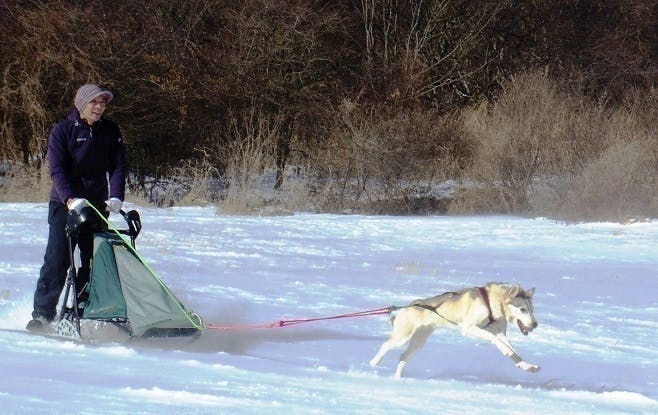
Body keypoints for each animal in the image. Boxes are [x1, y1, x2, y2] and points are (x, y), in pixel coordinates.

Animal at [368, 284, 540, 378]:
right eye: (522, 309)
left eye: (532, 310)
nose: (535, 324)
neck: (491, 303)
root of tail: (408, 306)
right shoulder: (469, 328)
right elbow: (497, 342)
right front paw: (506, 351)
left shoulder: (500, 333)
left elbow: (515, 354)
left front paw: (527, 366)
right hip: (402, 337)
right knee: (385, 346)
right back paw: (374, 363)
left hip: (418, 343)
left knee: (403, 356)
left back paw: (398, 378)